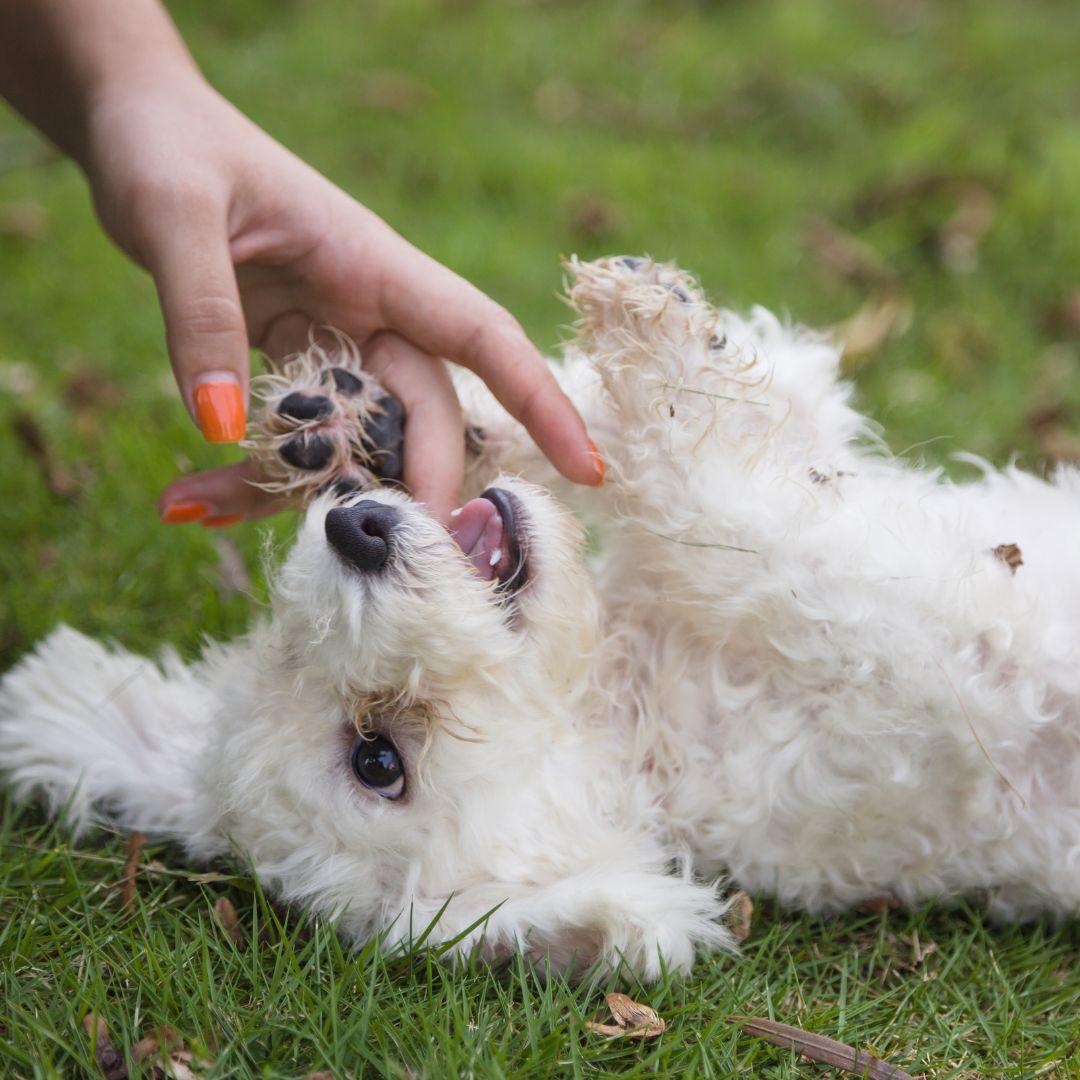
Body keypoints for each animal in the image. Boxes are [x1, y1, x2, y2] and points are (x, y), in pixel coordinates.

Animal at [2, 257, 1080, 976]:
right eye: (377, 758)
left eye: (284, 640)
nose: (356, 529)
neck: (628, 704)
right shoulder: (944, 657)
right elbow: (733, 514)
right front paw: (657, 350)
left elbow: (713, 420)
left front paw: (372, 423)